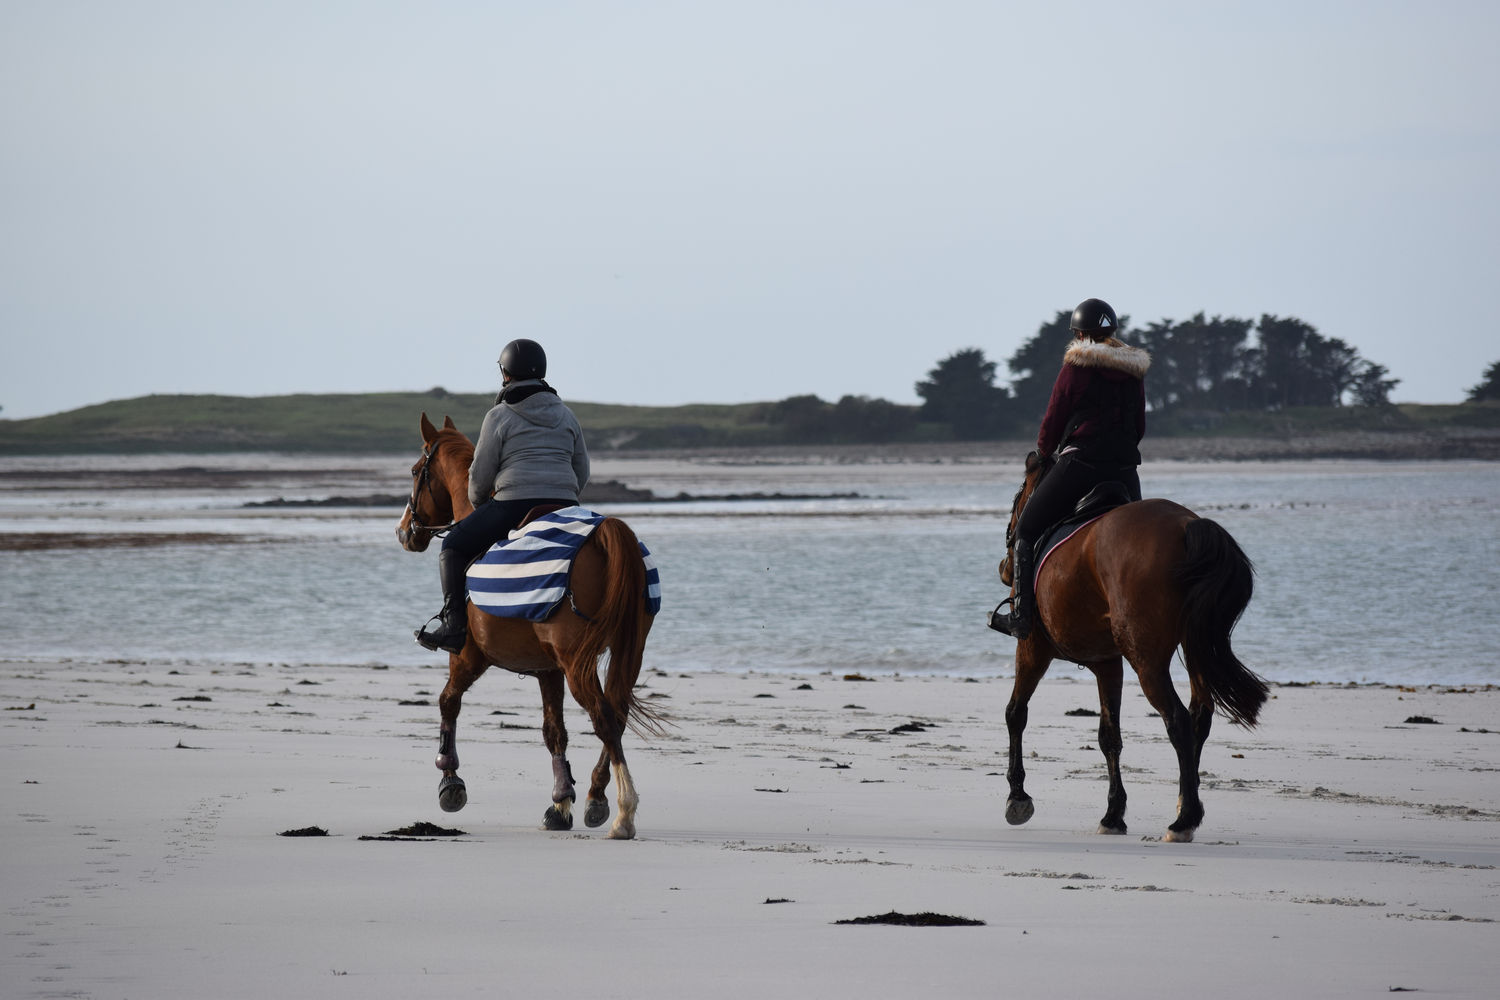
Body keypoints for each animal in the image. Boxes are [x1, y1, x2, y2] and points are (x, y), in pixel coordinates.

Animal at [393, 410, 663, 839]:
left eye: (417, 470)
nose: (405, 531)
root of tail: (605, 532)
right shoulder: (548, 670)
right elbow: (554, 732)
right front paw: (561, 802)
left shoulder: (468, 656)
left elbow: (448, 702)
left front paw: (450, 781)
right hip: (625, 652)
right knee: (616, 716)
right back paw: (596, 797)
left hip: (577, 662)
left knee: (605, 718)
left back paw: (623, 811)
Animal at [996, 452, 1266, 845]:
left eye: (1018, 499)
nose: (1005, 568)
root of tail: (1187, 525)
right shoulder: (1107, 662)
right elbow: (1109, 735)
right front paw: (1113, 814)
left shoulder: (1032, 648)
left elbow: (1016, 713)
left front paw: (1017, 797)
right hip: (1193, 647)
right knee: (1199, 715)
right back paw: (1185, 801)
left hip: (1147, 661)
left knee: (1178, 720)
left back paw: (1184, 819)